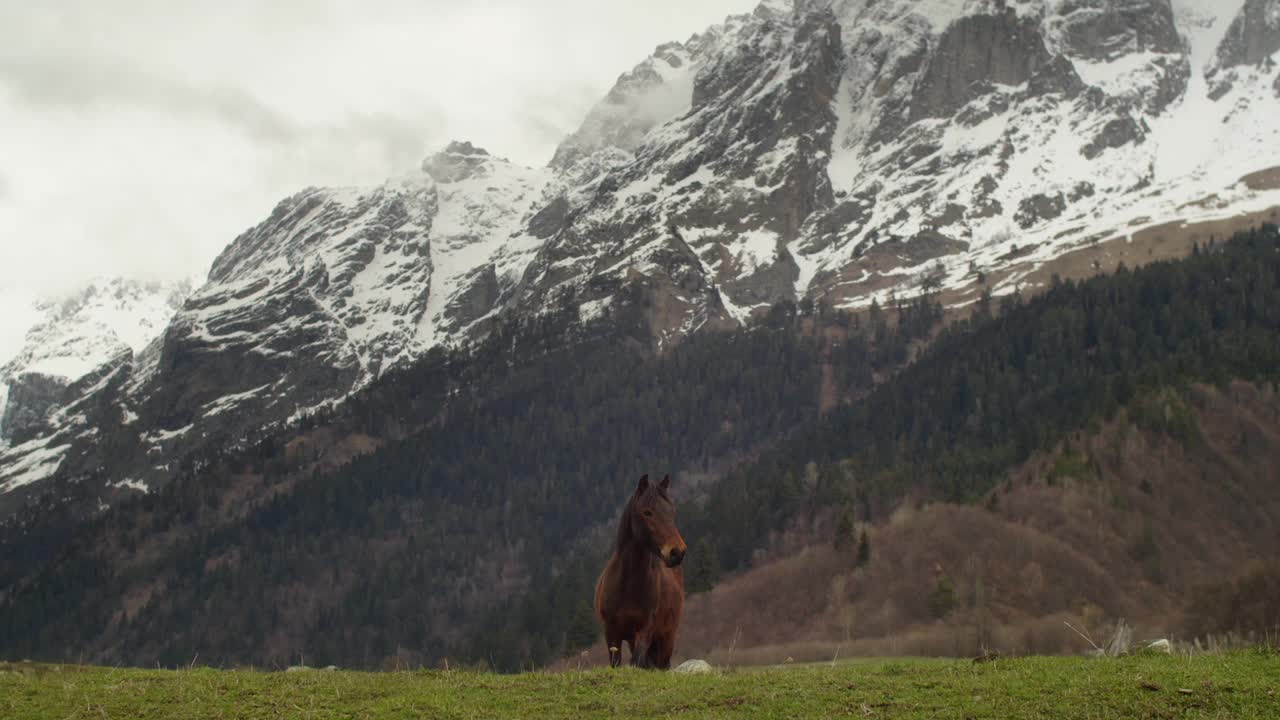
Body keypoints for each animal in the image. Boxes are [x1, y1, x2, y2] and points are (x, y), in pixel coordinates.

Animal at [591, 471, 686, 666]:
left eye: (671, 512)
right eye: (647, 512)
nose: (677, 552)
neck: (627, 586)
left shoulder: (644, 632)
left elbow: (637, 662)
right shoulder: (612, 634)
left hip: (666, 638)